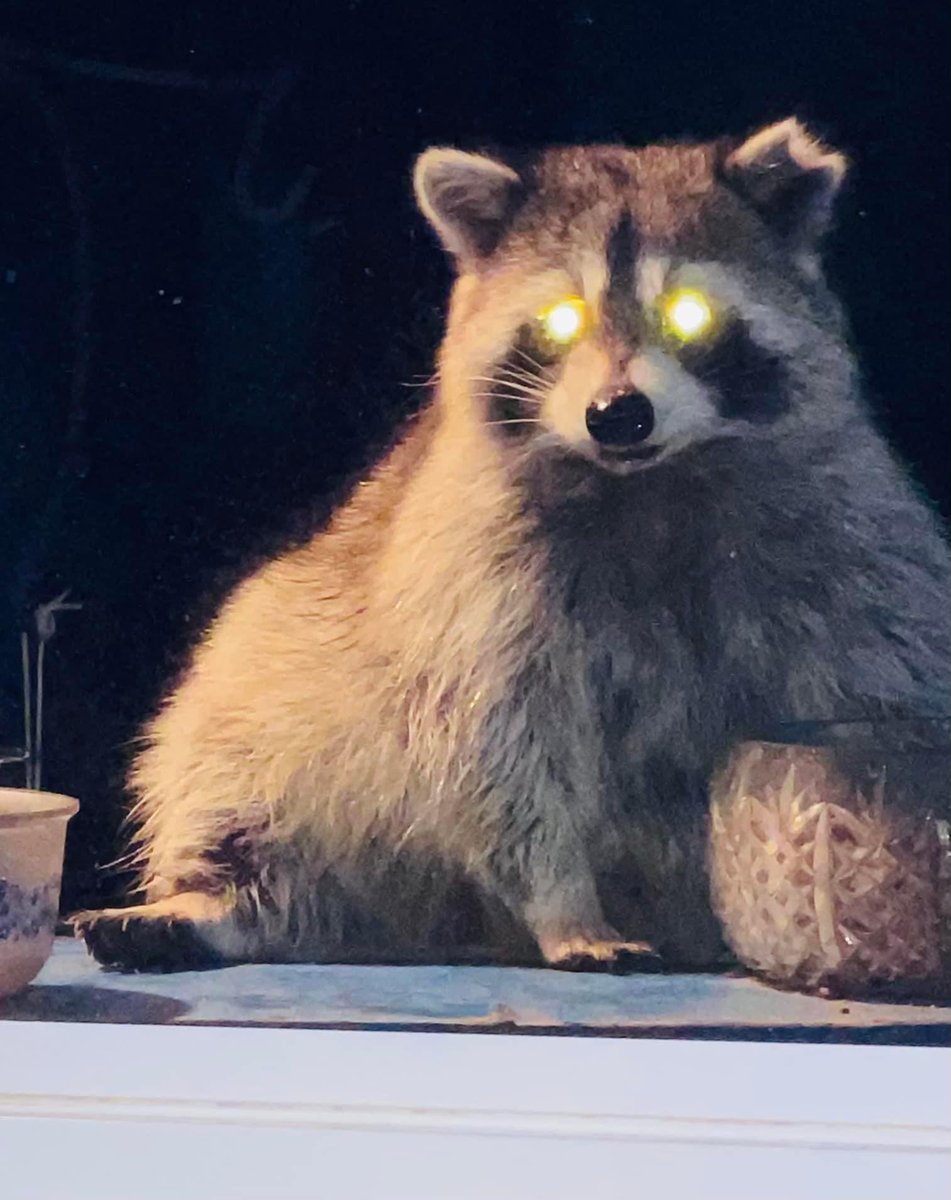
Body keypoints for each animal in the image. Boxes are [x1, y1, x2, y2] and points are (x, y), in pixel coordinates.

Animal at [76, 118, 951, 973]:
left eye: (689, 314)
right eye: (561, 319)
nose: (617, 413)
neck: (644, 480)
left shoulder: (850, 548)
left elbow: (877, 689)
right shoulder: (468, 580)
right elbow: (495, 748)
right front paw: (563, 903)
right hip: (279, 676)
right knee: (231, 764)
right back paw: (218, 902)